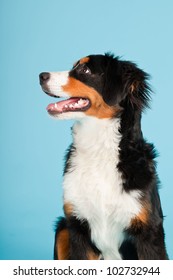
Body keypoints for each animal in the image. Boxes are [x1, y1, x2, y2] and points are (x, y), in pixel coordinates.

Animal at [39, 53, 168, 260]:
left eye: (85, 70)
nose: (41, 76)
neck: (97, 150)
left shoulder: (148, 231)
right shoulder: (76, 225)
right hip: (62, 230)